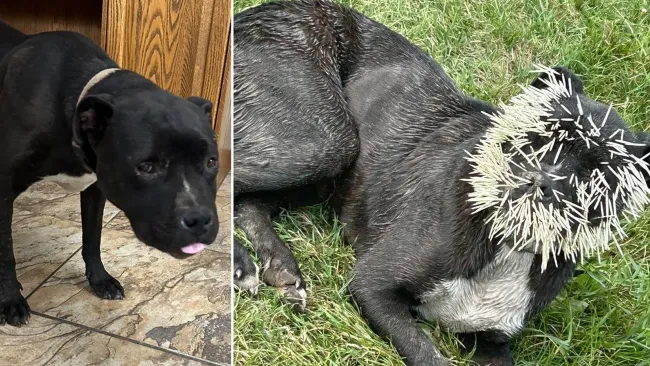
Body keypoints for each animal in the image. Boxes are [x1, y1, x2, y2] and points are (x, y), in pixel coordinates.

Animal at [0, 20, 220, 326]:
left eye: (211, 161)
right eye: (146, 167)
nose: (199, 219)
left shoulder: (95, 189)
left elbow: (92, 238)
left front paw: (100, 280)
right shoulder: (3, 188)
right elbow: (5, 250)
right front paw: (10, 298)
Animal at [232, 1, 648, 364]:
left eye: (599, 171)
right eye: (533, 136)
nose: (538, 180)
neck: (508, 248)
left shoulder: (494, 344)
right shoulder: (373, 286)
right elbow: (426, 354)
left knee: (249, 204)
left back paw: (281, 267)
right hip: (327, 142)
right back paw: (240, 264)